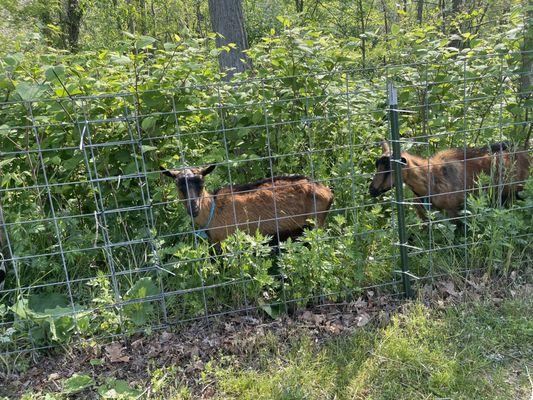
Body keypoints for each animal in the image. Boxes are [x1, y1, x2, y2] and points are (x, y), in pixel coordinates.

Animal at [161, 163, 332, 244]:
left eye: (201, 183)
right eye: (178, 185)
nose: (194, 208)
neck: (212, 209)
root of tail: (327, 191)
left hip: (314, 224)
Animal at [370, 139, 528, 220]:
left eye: (390, 169)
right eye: (376, 165)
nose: (372, 190)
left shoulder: (453, 210)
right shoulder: (423, 216)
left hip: (517, 191)